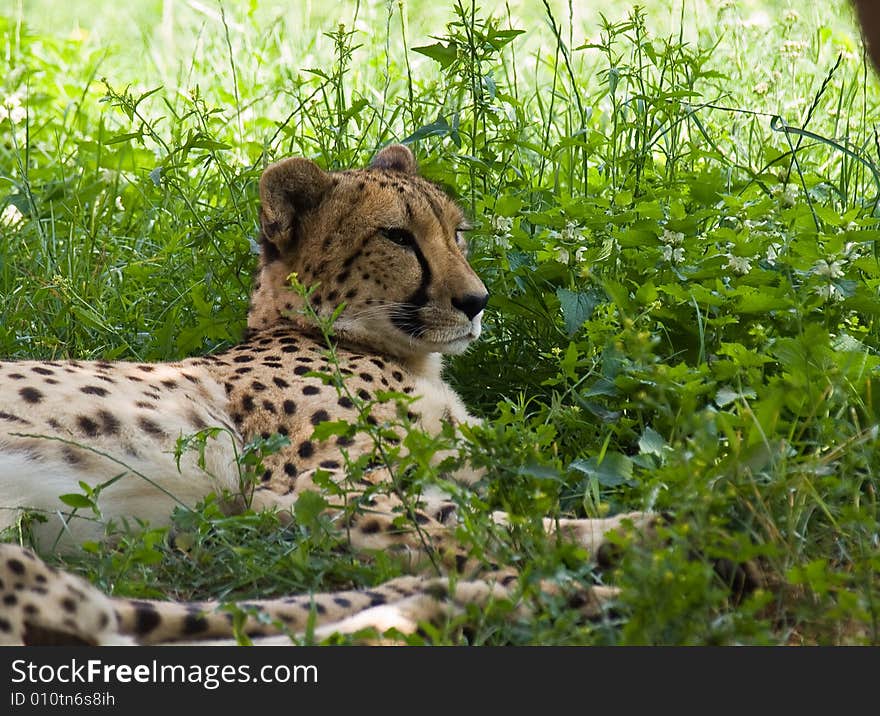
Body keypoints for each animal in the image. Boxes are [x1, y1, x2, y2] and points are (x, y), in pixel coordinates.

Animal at [0, 145, 648, 644]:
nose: (477, 301)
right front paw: (639, 541)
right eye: (397, 236)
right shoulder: (307, 492)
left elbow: (510, 508)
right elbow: (480, 525)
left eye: (457, 234)